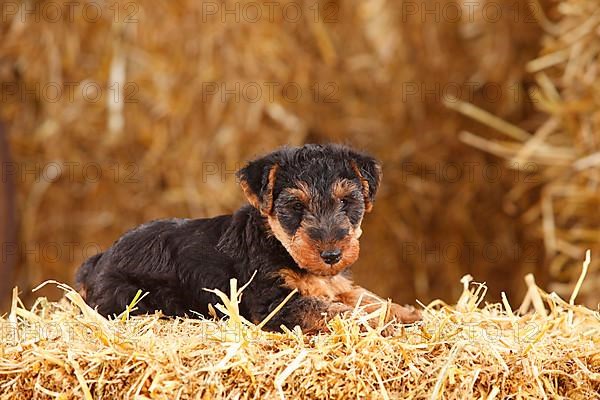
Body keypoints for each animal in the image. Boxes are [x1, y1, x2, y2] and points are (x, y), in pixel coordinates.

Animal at [75, 144, 422, 332]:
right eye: (296, 206)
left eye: (347, 202)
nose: (332, 255)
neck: (278, 244)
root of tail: (98, 259)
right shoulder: (274, 303)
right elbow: (334, 310)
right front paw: (378, 323)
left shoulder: (337, 284)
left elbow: (370, 298)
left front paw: (409, 314)